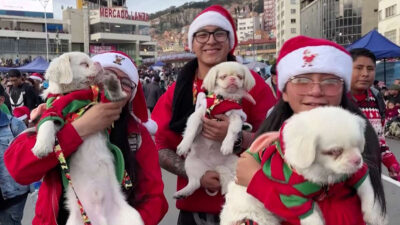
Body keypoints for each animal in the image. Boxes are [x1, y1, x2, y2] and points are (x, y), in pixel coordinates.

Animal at [31, 52, 144, 225]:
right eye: (84, 64)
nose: (98, 64)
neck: (72, 95)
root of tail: (101, 218)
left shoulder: (105, 103)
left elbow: (114, 95)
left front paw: (112, 82)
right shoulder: (53, 112)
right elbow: (46, 124)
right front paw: (42, 147)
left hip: (133, 217)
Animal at [175, 61, 256, 199]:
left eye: (240, 77)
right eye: (223, 77)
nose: (232, 79)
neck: (223, 100)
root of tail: (213, 167)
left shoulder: (236, 117)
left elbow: (232, 130)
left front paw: (227, 145)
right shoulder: (199, 115)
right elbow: (191, 130)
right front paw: (184, 145)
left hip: (237, 165)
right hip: (191, 163)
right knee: (195, 183)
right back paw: (182, 193)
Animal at [222, 107, 388, 225]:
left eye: (358, 145)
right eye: (335, 151)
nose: (357, 160)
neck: (324, 173)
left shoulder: (356, 174)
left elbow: (367, 190)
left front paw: (373, 215)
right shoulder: (292, 196)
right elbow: (311, 217)